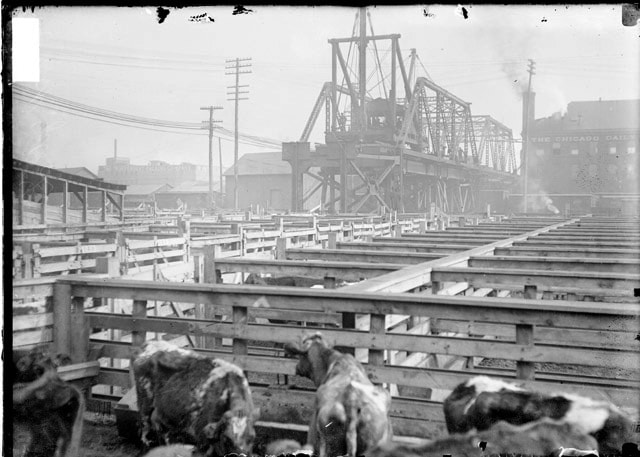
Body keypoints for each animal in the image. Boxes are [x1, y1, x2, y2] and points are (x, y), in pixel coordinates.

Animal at [132, 340, 260, 454]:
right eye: (227, 440)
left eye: (252, 438)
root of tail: (148, 344)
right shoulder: (201, 433)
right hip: (144, 404)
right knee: (144, 428)